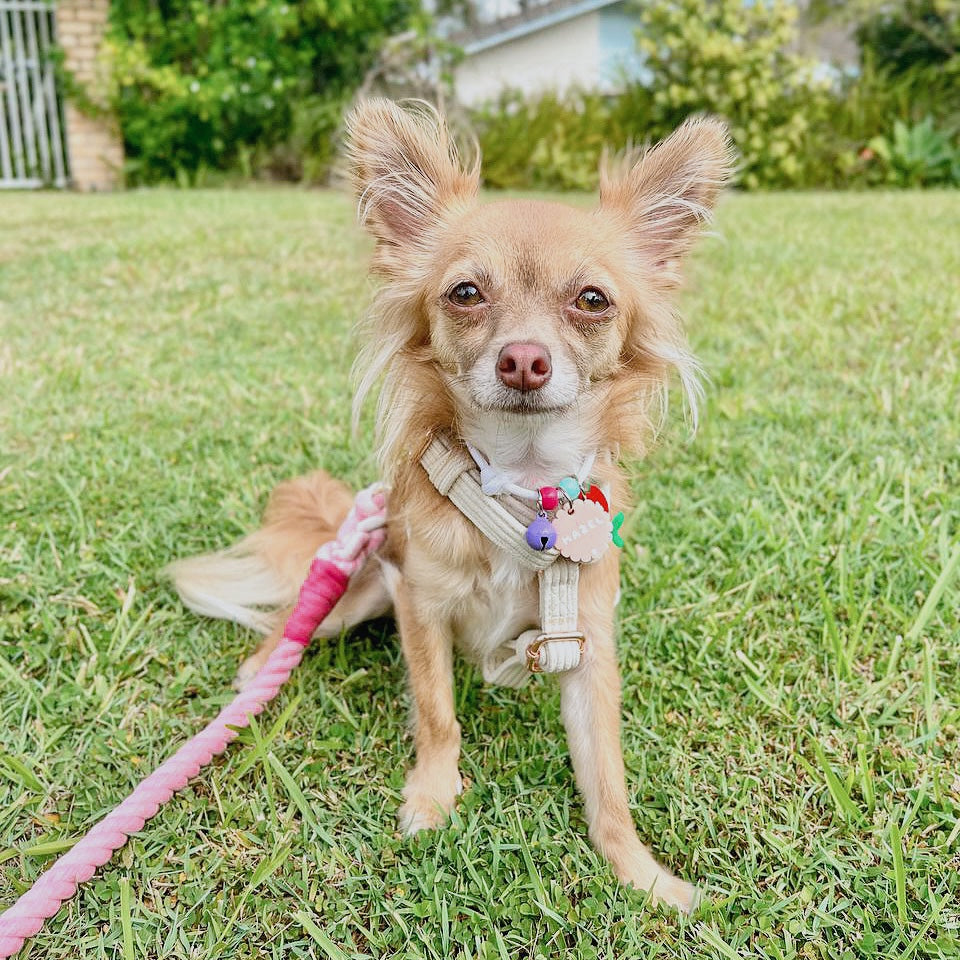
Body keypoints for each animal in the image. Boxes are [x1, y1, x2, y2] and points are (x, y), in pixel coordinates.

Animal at [169, 101, 732, 912]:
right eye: (466, 293)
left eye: (592, 301)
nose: (523, 359)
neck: (520, 489)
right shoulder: (419, 603)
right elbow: (437, 711)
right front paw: (433, 797)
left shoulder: (586, 644)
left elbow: (607, 778)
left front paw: (642, 874)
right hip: (357, 593)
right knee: (294, 621)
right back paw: (260, 666)